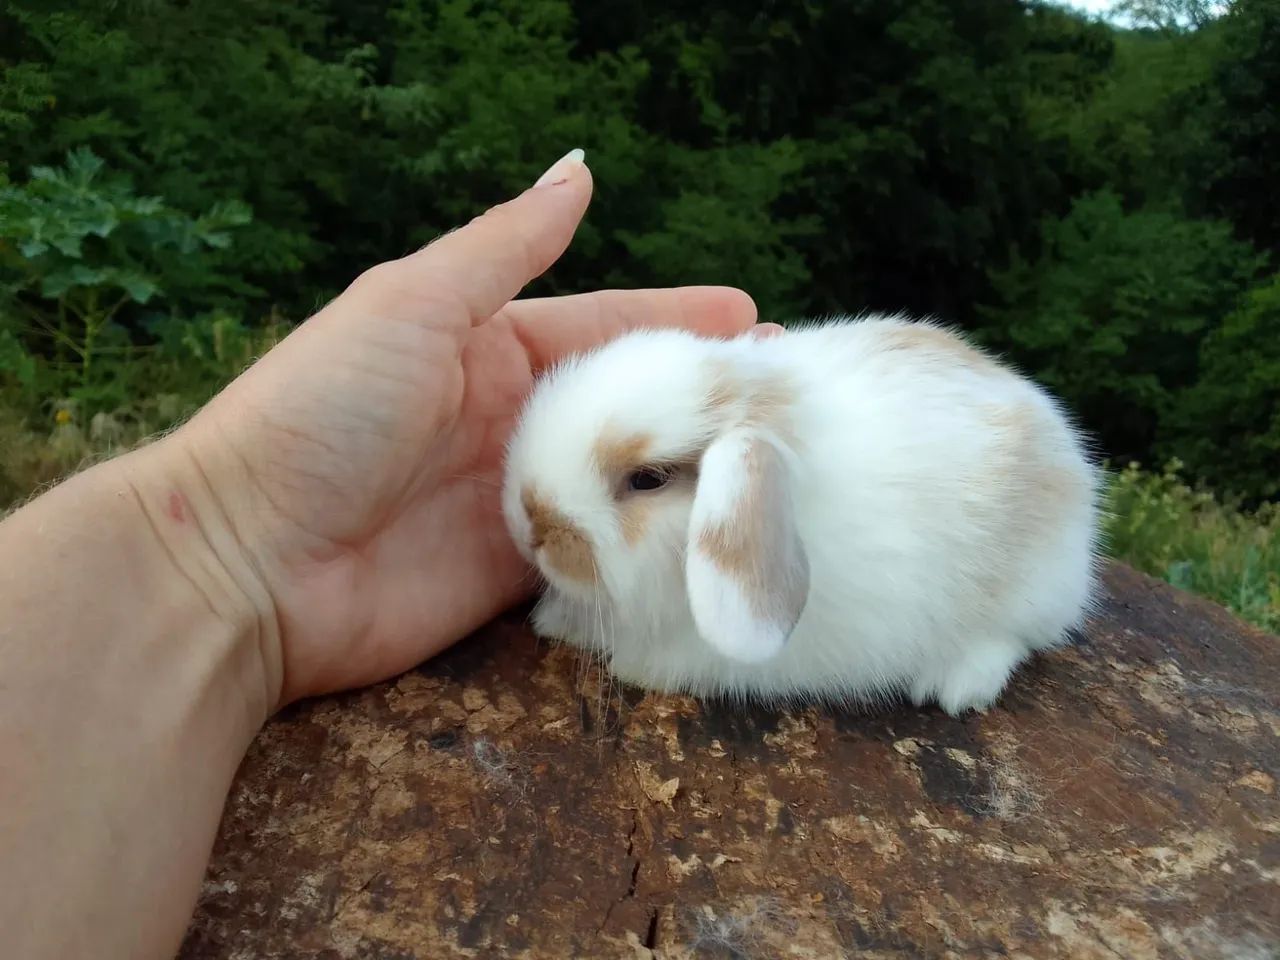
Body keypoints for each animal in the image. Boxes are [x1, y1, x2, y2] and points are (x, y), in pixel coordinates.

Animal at [500, 313, 1102, 716]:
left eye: (648, 479)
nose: (531, 522)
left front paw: (624, 663)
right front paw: (553, 619)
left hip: (1031, 590)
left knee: (1012, 640)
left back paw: (952, 687)